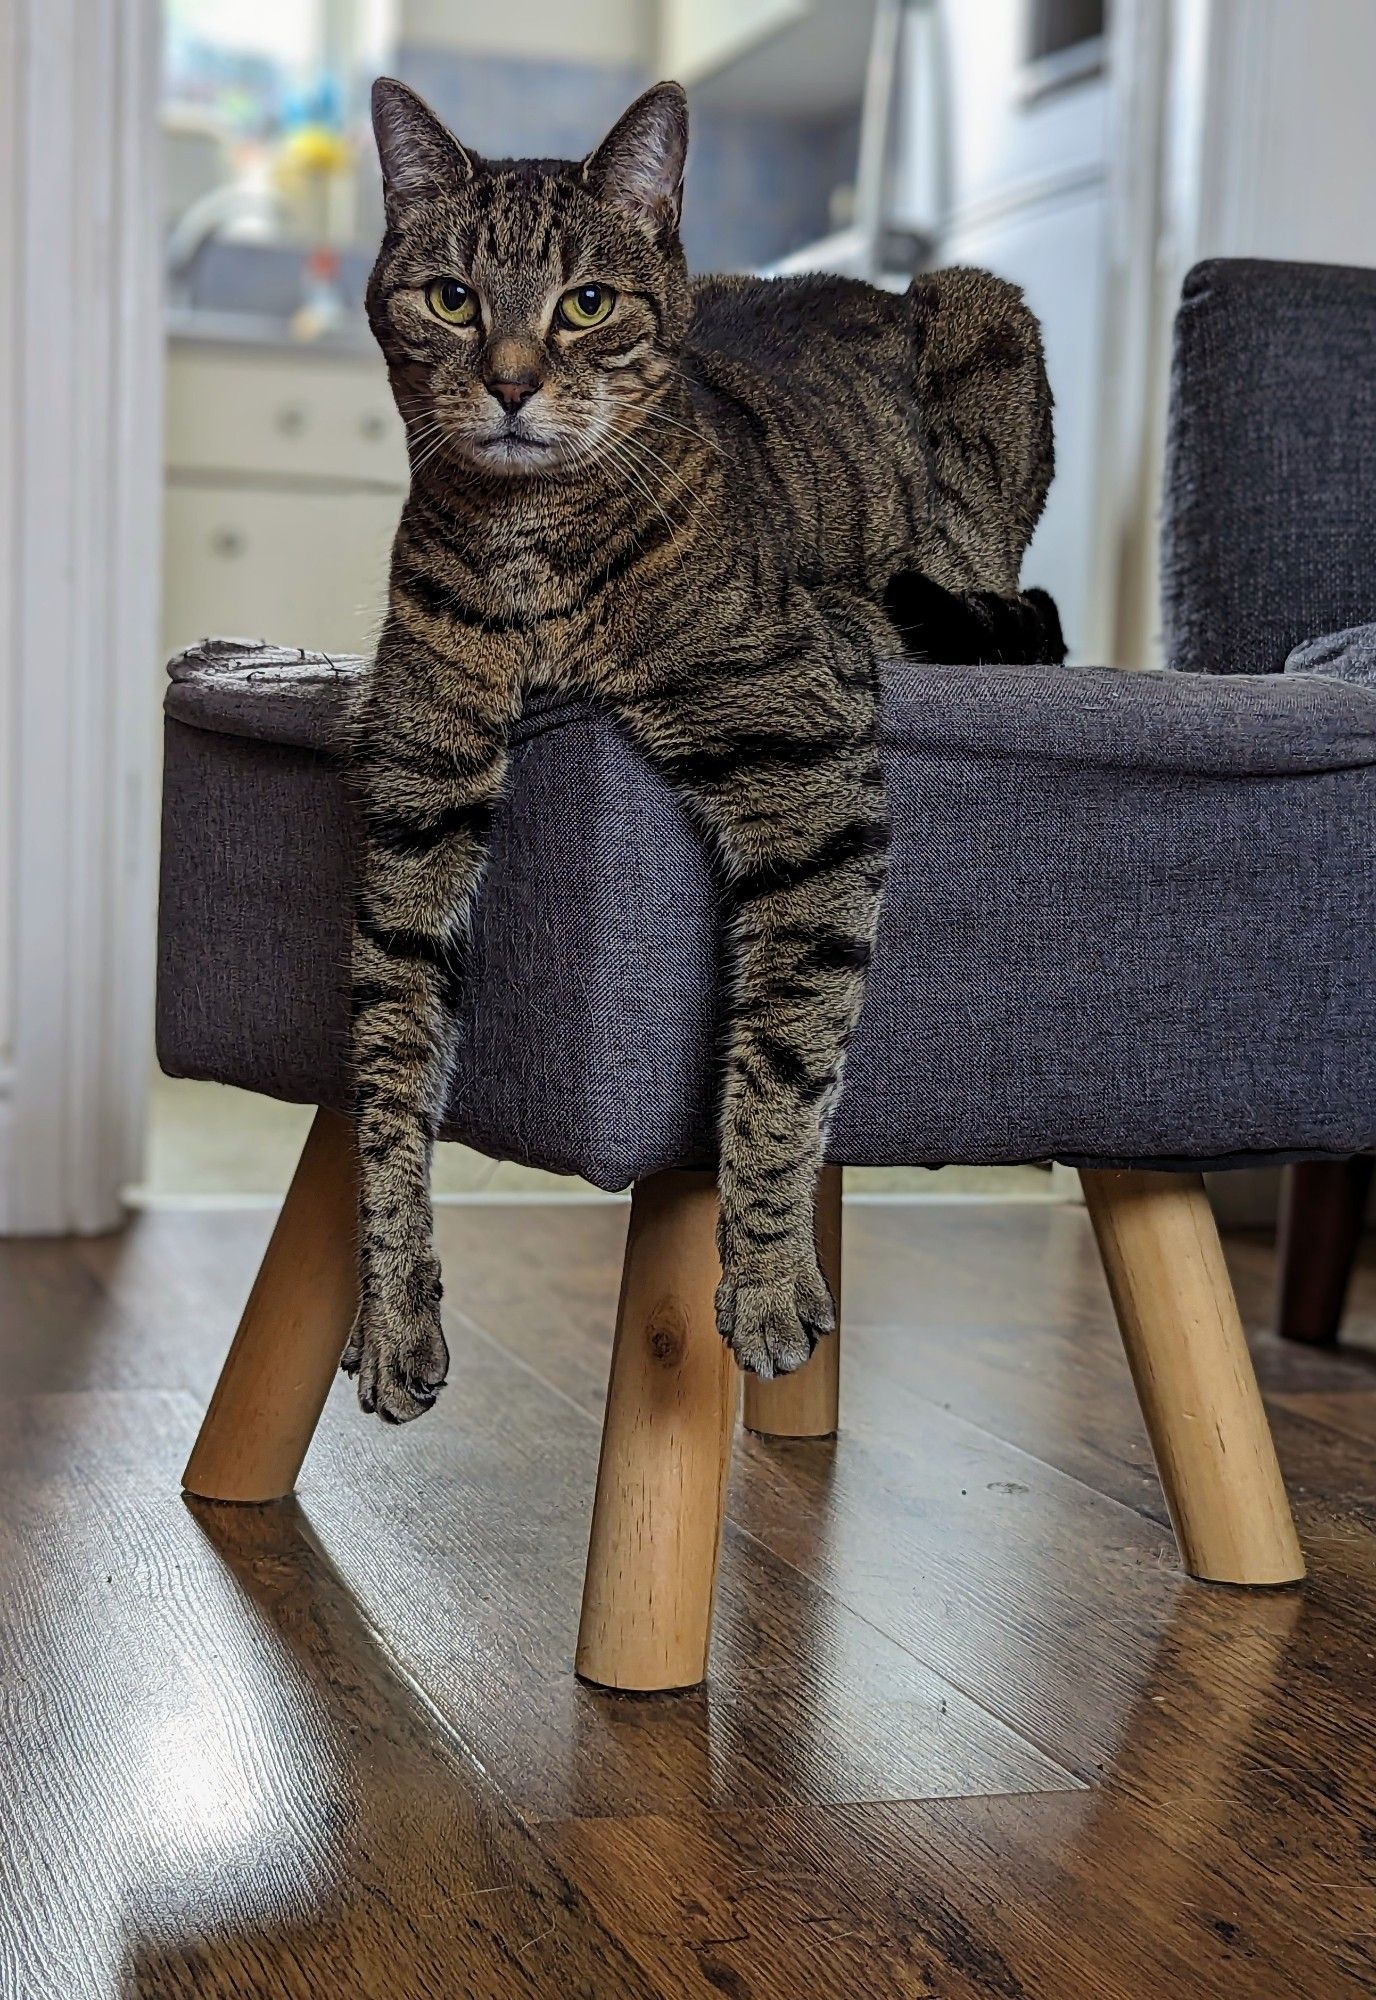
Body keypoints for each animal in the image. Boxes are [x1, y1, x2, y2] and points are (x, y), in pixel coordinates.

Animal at [346, 78, 1064, 1424]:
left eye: (585, 303)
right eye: (452, 297)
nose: (510, 384)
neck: (533, 560)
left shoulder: (803, 753)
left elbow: (785, 1050)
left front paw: (770, 1274)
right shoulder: (415, 796)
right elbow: (383, 1066)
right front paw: (392, 1303)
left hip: (987, 320)